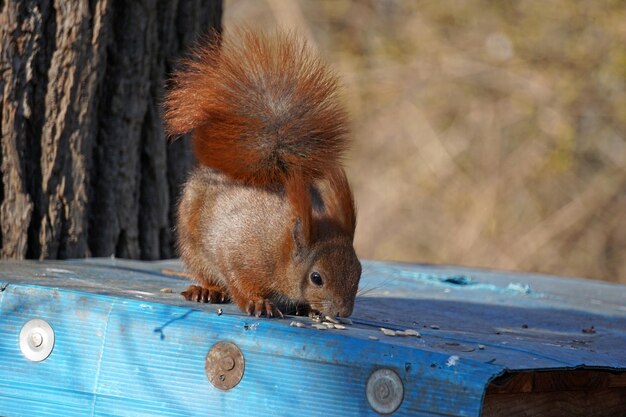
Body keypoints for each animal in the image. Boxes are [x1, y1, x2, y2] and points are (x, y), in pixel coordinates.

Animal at [162, 29, 360, 316]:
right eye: (316, 278)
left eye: (359, 272)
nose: (342, 313)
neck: (281, 247)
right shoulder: (239, 255)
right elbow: (237, 281)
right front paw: (257, 302)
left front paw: (308, 308)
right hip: (191, 243)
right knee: (206, 272)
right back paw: (207, 290)